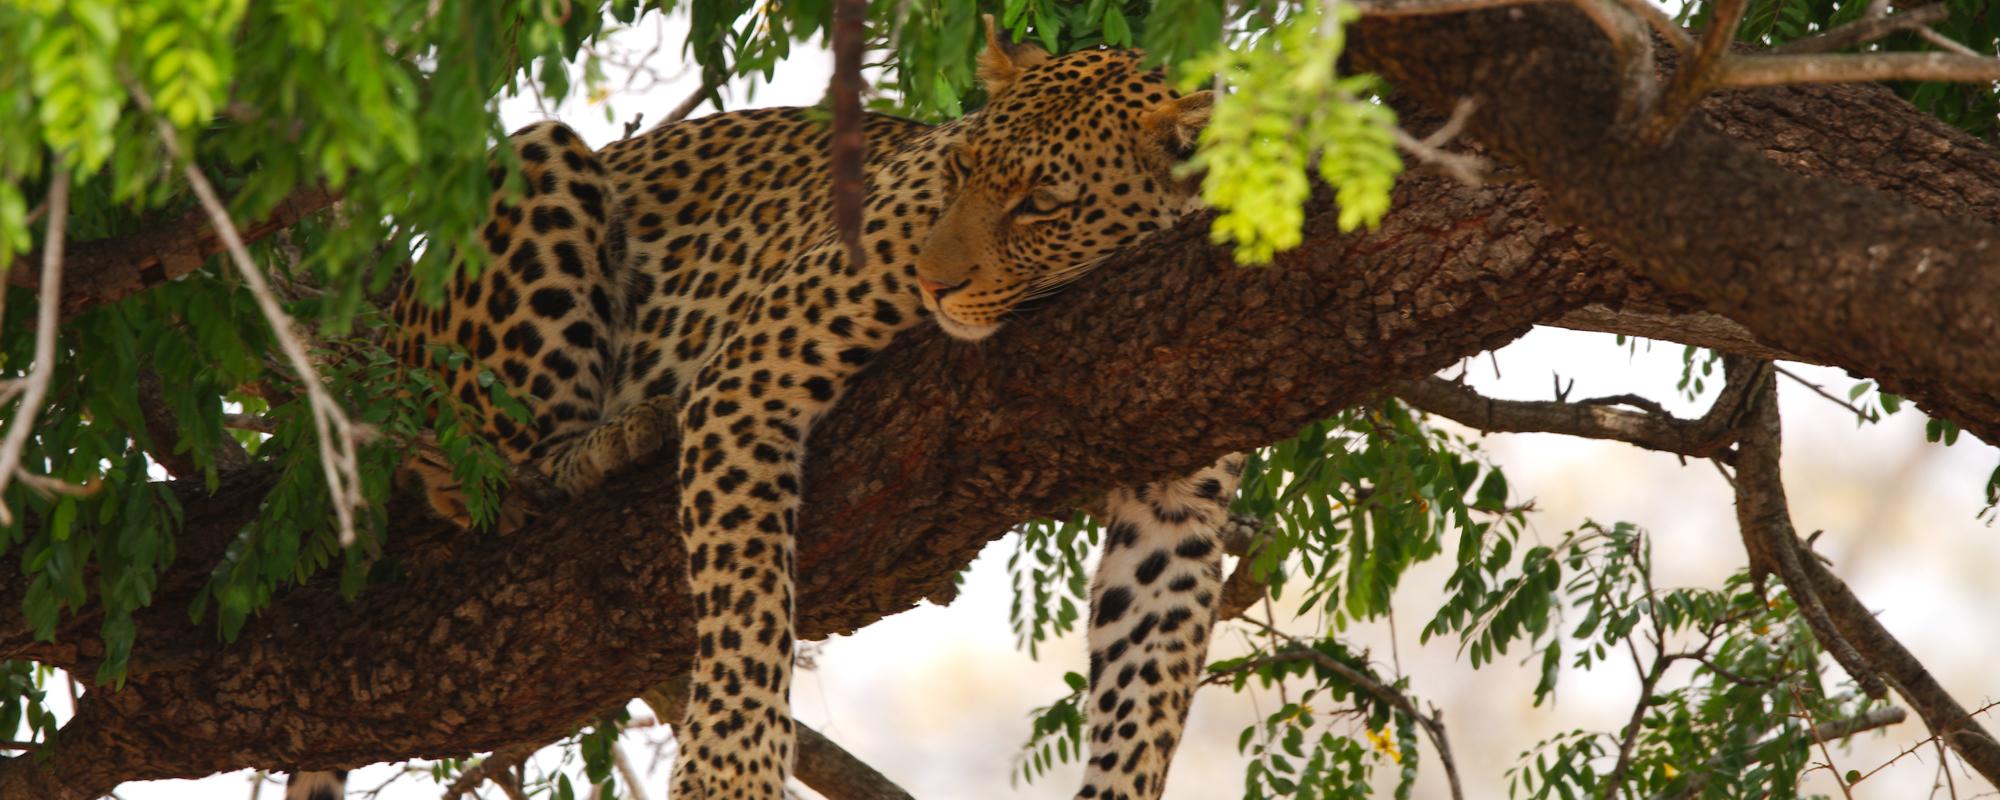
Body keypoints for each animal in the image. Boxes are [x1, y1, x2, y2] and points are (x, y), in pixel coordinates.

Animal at [290, 20, 1240, 800]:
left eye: (1042, 204)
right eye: (960, 169)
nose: (932, 281)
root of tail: (392, 327)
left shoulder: (1177, 498)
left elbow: (1147, 689)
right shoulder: (752, 368)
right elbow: (746, 590)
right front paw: (730, 770)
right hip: (534, 167)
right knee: (477, 472)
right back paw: (616, 439)